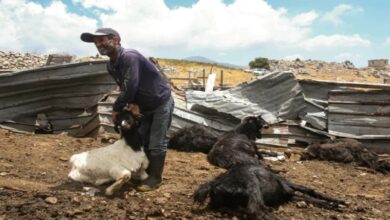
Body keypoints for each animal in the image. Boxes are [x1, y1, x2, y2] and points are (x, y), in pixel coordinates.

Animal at [193, 162, 346, 219]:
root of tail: (215, 184)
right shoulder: (289, 186)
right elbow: (310, 190)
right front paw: (339, 202)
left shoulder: (290, 195)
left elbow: (310, 197)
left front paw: (335, 204)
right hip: (253, 187)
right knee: (257, 210)